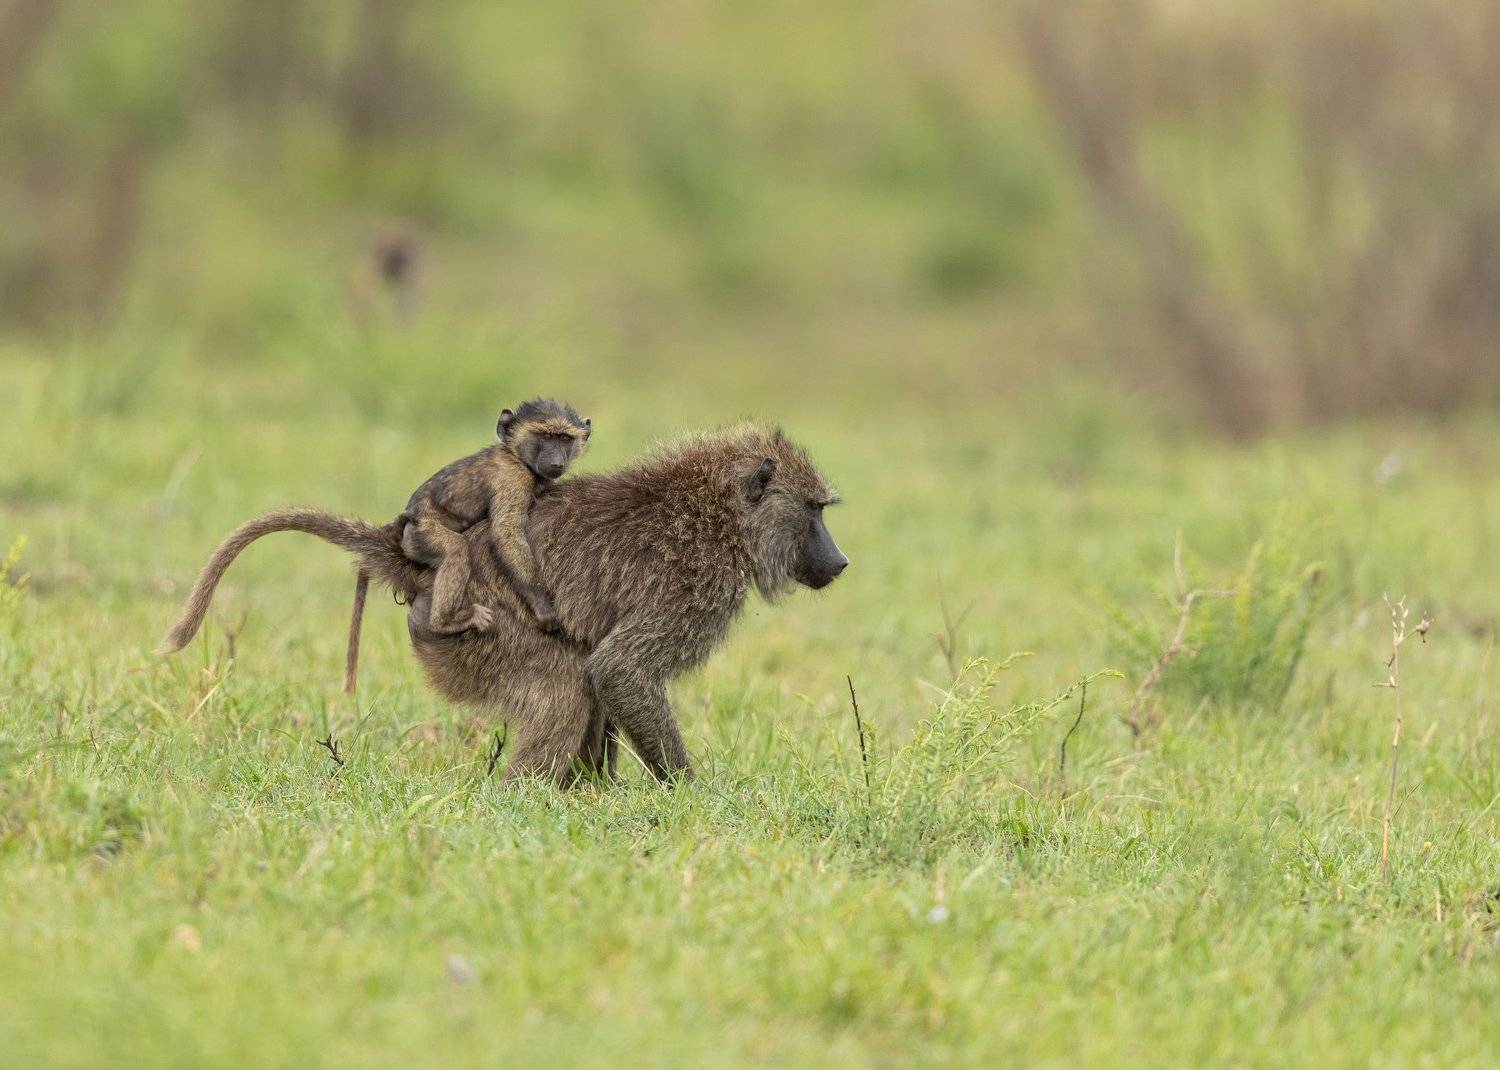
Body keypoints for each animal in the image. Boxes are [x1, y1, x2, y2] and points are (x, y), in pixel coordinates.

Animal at [342, 398, 590, 693]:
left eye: (564, 439)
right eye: (545, 436)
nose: (556, 461)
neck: (516, 455)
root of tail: (407, 518)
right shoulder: (512, 478)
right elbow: (506, 532)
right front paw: (545, 608)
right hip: (421, 537)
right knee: (456, 550)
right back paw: (444, 622)